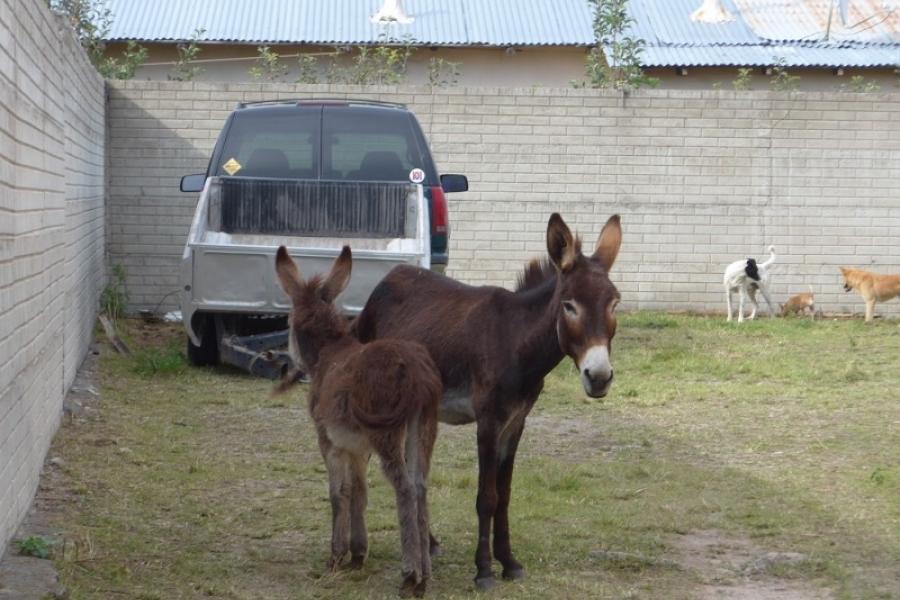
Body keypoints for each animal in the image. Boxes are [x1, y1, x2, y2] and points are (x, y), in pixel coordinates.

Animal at [274, 245, 442, 596]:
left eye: (288, 319)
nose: (286, 361)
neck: (328, 352)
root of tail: (417, 373)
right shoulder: (357, 448)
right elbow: (359, 492)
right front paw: (357, 553)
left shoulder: (329, 441)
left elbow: (338, 493)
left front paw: (336, 556)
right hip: (423, 428)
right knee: (420, 485)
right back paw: (425, 577)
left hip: (387, 435)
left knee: (405, 488)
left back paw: (410, 575)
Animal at [356, 212, 624, 592]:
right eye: (569, 305)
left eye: (615, 303)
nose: (599, 377)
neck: (515, 341)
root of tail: (391, 276)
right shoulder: (488, 422)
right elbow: (487, 497)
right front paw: (483, 569)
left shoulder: (516, 422)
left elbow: (505, 494)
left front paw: (509, 562)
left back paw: (429, 542)